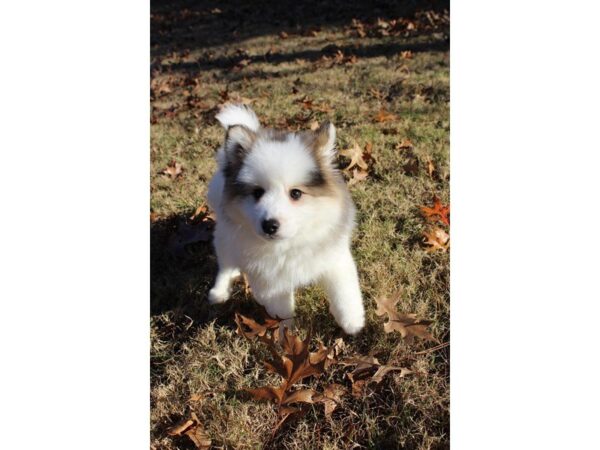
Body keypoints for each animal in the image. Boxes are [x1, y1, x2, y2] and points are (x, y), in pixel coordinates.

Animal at [206, 103, 366, 334]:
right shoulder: (269, 282)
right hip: (224, 240)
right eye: (257, 193)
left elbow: (344, 292)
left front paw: (352, 322)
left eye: (296, 193)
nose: (270, 225)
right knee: (226, 265)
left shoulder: (334, 257)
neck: (290, 243)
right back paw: (218, 293)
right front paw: (287, 333)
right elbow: (282, 311)